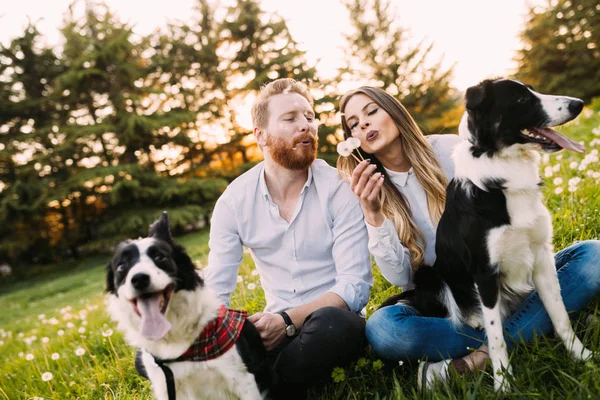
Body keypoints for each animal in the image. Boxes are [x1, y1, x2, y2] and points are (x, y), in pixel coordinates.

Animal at [382, 78, 592, 390]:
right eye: (521, 99)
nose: (578, 104)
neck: (503, 169)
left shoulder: (542, 257)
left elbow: (559, 314)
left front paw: (582, 357)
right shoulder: (485, 271)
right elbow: (496, 339)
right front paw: (504, 385)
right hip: (429, 274)